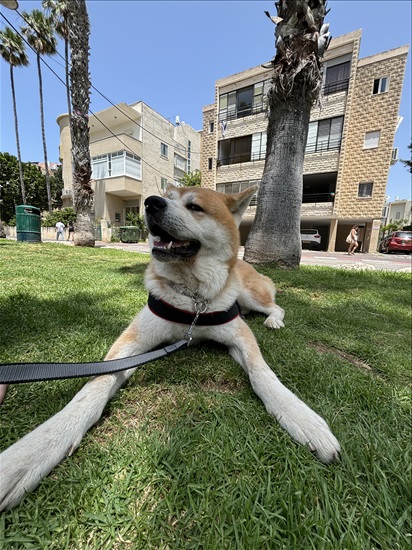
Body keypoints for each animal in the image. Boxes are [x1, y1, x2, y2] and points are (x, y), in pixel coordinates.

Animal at [0, 187, 342, 512]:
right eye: (166, 197)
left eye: (195, 206)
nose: (151, 203)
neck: (192, 301)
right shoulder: (136, 340)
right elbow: (97, 383)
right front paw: (37, 448)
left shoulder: (239, 335)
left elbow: (262, 375)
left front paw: (301, 416)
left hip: (250, 294)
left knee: (276, 306)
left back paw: (273, 321)